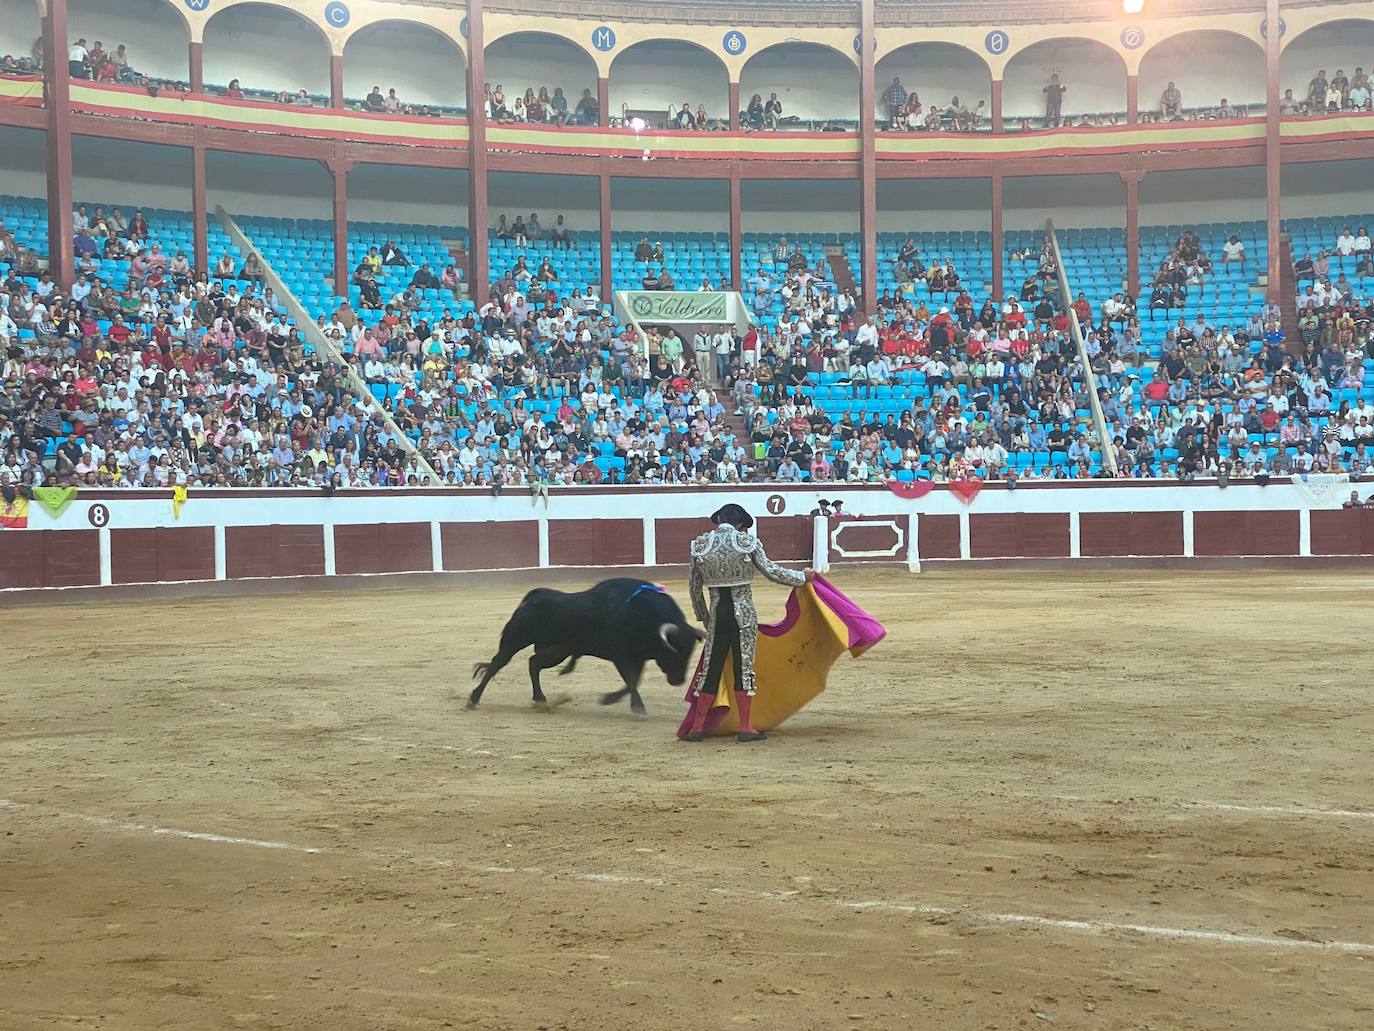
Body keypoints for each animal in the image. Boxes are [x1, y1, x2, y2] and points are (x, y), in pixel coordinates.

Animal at [467, 582, 703, 720]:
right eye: (674, 650)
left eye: (690, 652)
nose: (678, 681)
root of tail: (533, 596)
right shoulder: (620, 656)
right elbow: (631, 679)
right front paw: (637, 707)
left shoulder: (638, 658)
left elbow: (634, 681)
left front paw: (610, 699)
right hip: (515, 640)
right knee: (497, 664)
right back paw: (474, 699)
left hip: (559, 650)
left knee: (533, 663)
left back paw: (541, 699)